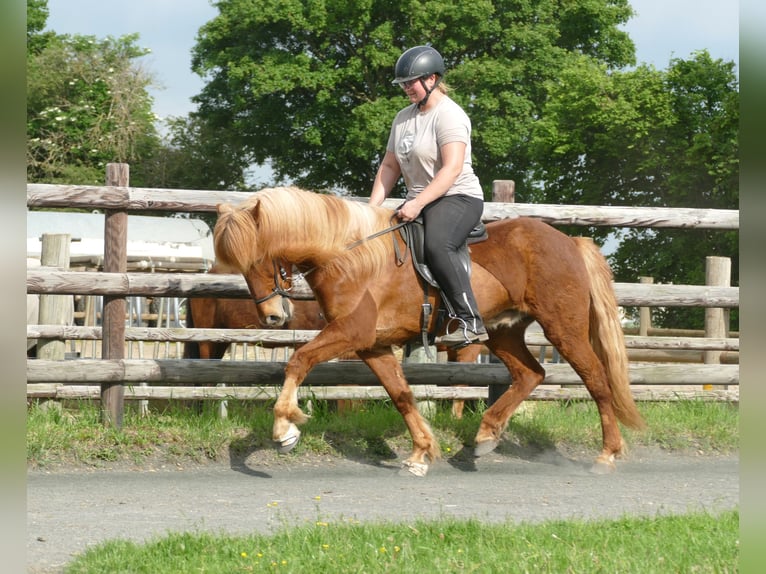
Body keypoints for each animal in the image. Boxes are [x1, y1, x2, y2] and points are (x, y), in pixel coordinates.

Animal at [213, 188, 644, 476]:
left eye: (262, 258)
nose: (272, 317)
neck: (350, 256)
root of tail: (569, 241)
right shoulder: (373, 345)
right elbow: (402, 395)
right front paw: (421, 453)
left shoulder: (350, 333)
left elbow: (299, 361)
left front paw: (284, 429)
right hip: (503, 331)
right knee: (530, 374)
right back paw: (485, 438)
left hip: (563, 327)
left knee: (596, 378)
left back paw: (607, 454)